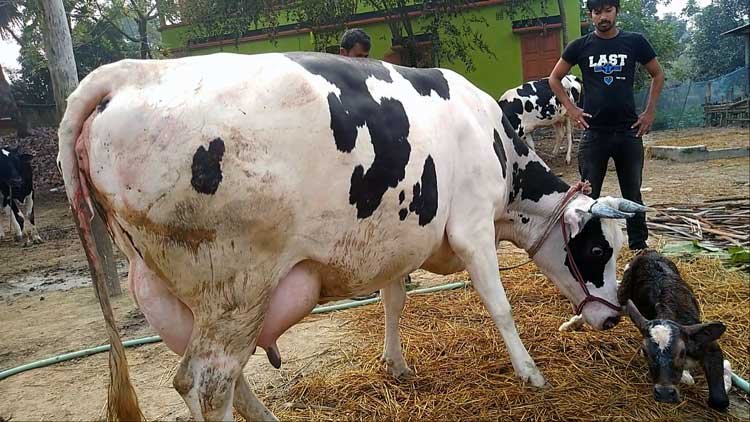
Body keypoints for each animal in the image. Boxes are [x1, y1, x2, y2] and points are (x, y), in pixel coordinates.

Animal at [57, 52, 647, 421]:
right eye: (598, 249)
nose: (611, 318)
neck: (495, 138)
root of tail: (128, 74)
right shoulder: (472, 227)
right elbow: (500, 307)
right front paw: (530, 373)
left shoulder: (399, 238)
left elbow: (393, 299)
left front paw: (396, 365)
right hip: (237, 286)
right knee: (207, 385)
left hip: (175, 293)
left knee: (217, 380)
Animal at [620, 250, 731, 410]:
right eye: (646, 353)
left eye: (681, 352)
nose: (665, 393)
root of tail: (648, 252)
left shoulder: (709, 346)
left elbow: (719, 400)